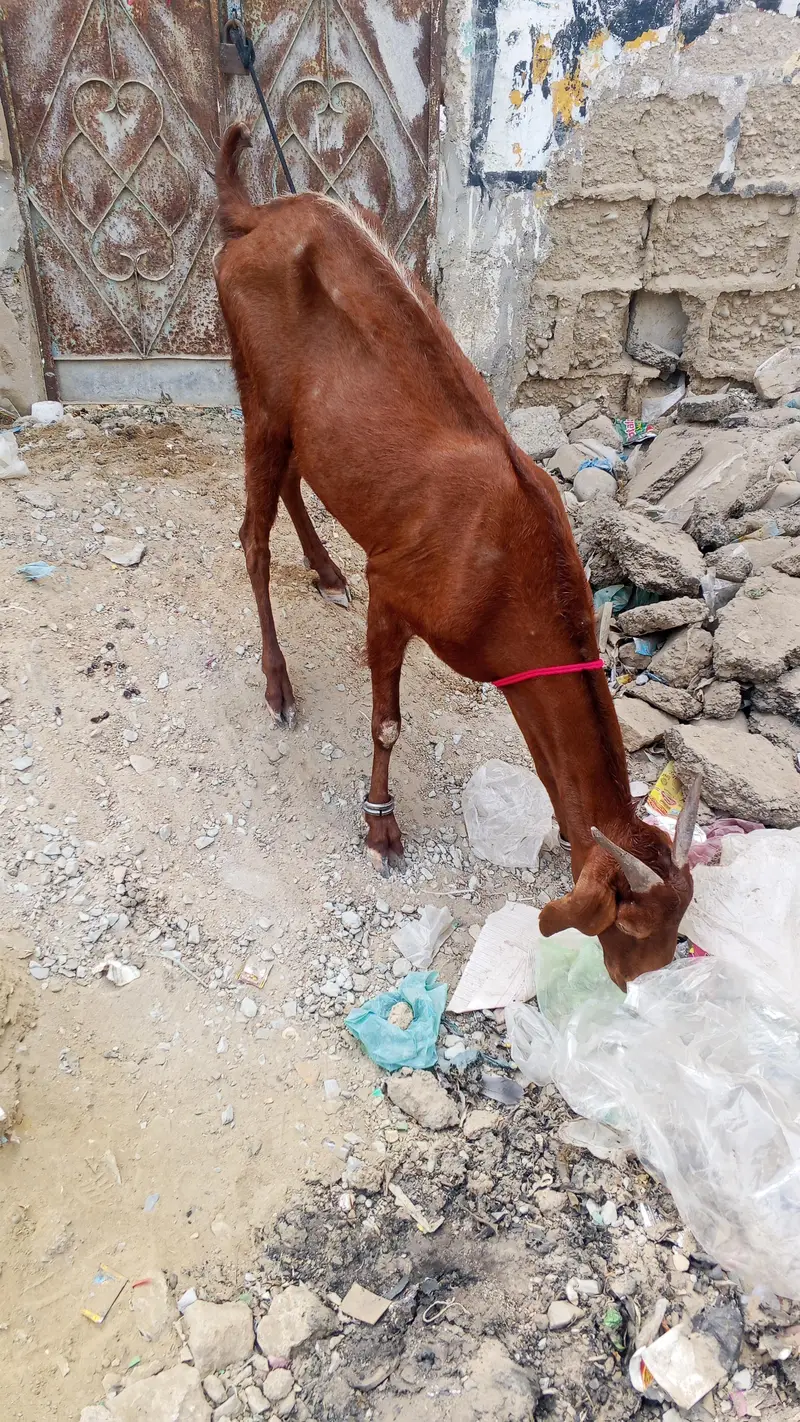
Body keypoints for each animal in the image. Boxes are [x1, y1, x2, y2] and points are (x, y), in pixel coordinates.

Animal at [213, 122, 698, 987]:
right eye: (630, 926)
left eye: (678, 926)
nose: (637, 989)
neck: (510, 567)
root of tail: (259, 214)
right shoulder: (395, 590)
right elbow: (386, 725)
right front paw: (380, 830)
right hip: (256, 390)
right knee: (251, 540)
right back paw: (277, 685)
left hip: (300, 419)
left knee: (298, 480)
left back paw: (325, 571)